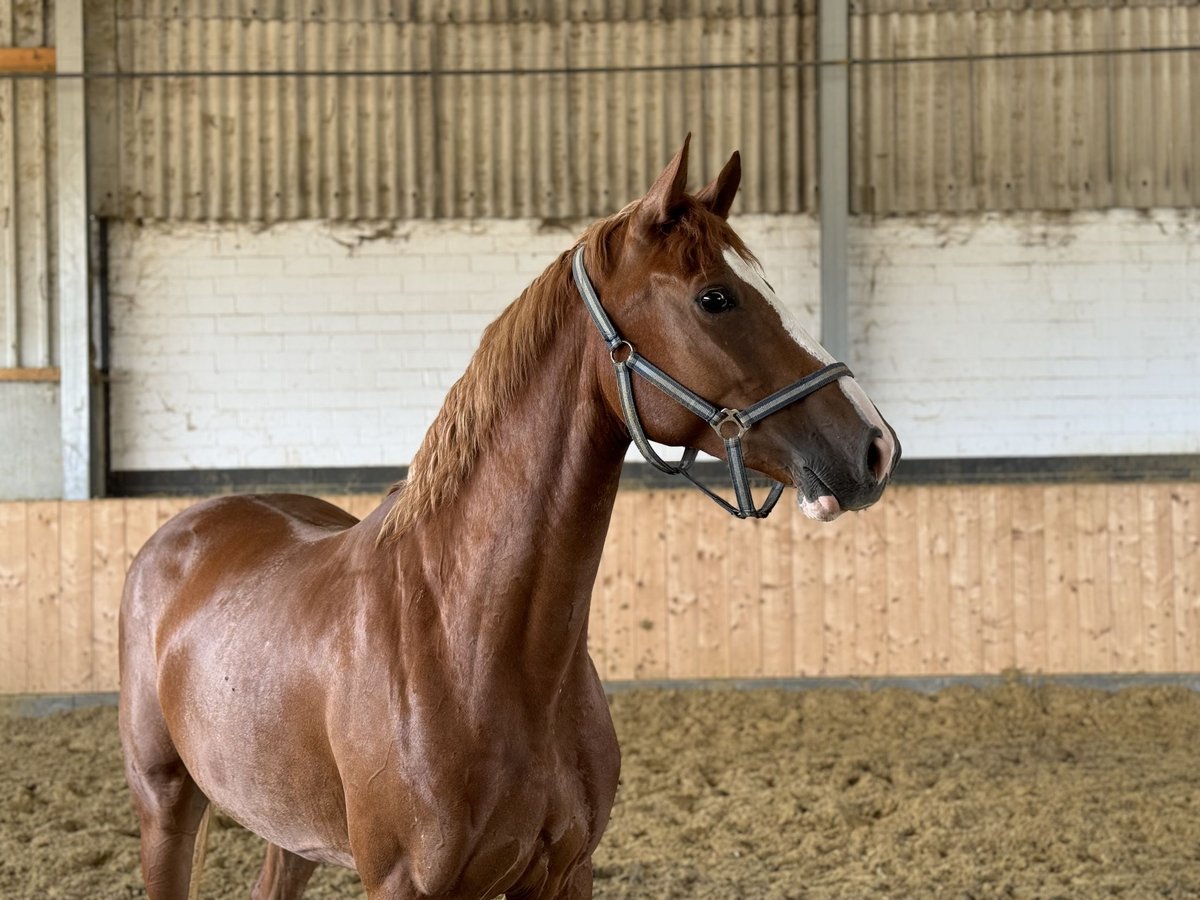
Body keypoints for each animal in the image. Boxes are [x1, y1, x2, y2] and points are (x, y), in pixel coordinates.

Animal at [119, 139, 902, 900]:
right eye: (716, 297)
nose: (874, 446)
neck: (469, 641)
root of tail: (184, 531)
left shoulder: (564, 872)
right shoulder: (402, 884)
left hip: (290, 831)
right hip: (166, 806)